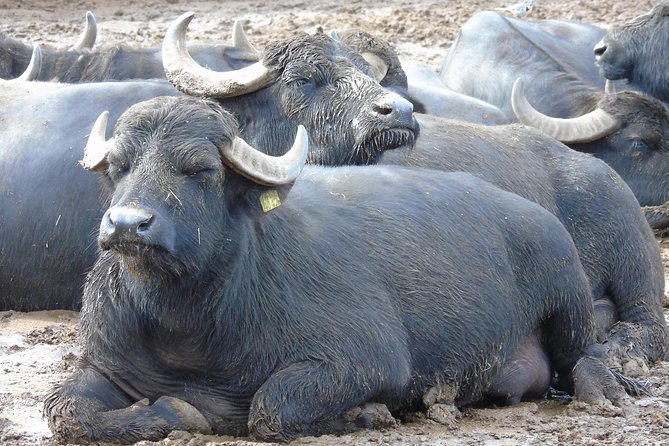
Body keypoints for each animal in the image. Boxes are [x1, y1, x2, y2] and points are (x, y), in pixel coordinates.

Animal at [45, 96, 632, 442]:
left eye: (202, 170)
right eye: (119, 167)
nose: (128, 225)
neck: (188, 328)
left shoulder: (367, 359)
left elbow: (270, 407)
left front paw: (367, 413)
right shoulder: (107, 364)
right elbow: (68, 411)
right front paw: (176, 414)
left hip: (569, 293)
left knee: (584, 354)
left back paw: (608, 392)